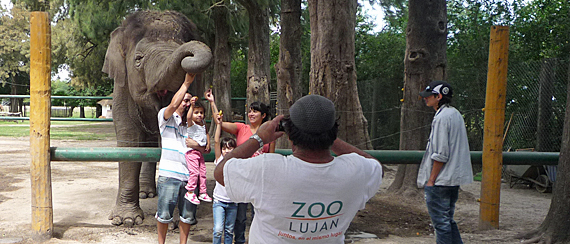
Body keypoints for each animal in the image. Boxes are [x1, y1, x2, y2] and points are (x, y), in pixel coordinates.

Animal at [101, 9, 211, 227]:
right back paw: (146, 193)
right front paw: (125, 220)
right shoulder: (121, 90)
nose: (188, 53)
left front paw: (177, 219)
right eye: (138, 59)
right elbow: (129, 141)